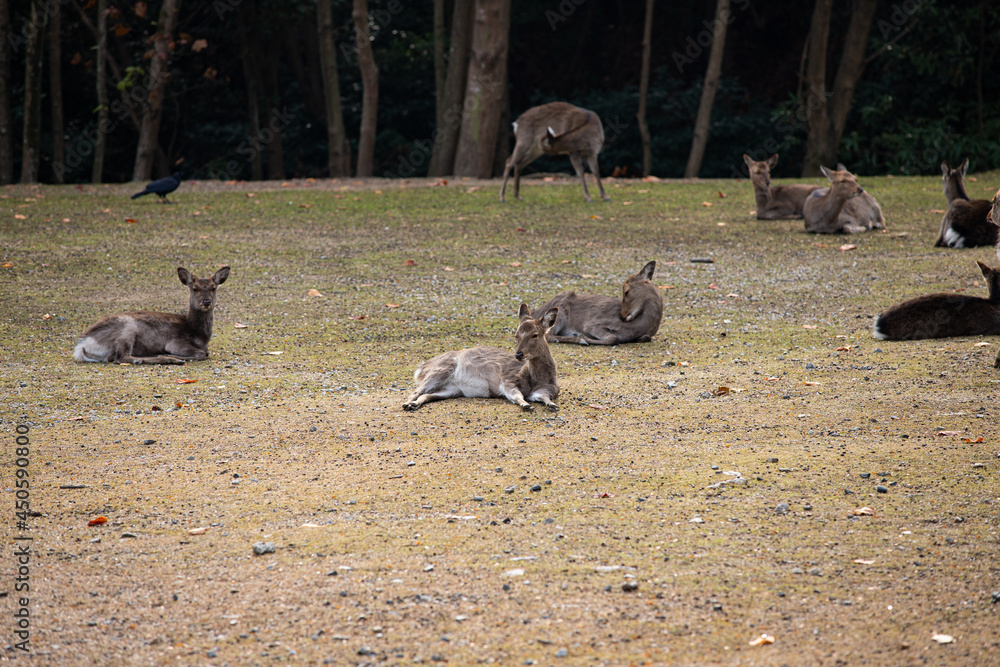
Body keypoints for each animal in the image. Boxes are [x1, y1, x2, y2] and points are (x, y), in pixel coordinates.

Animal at [73, 266, 230, 365]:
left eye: (213, 288)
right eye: (195, 288)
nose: (206, 302)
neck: (200, 336)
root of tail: (82, 345)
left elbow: (205, 352)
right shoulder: (175, 342)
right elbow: (201, 353)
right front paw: (170, 355)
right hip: (127, 329)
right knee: (121, 357)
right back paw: (166, 359)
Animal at [403, 304, 560, 412]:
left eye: (535, 335)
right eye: (516, 335)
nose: (519, 354)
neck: (536, 379)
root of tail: (422, 368)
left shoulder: (549, 389)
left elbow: (544, 396)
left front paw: (552, 405)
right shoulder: (508, 380)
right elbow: (516, 395)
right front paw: (526, 404)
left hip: (452, 389)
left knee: (427, 395)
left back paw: (414, 404)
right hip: (440, 370)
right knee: (416, 391)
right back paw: (407, 404)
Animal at [531, 261, 663, 345]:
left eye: (626, 291)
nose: (622, 316)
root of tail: (534, 313)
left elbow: (645, 337)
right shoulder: (592, 324)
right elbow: (613, 338)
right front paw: (582, 338)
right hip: (560, 311)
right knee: (549, 335)